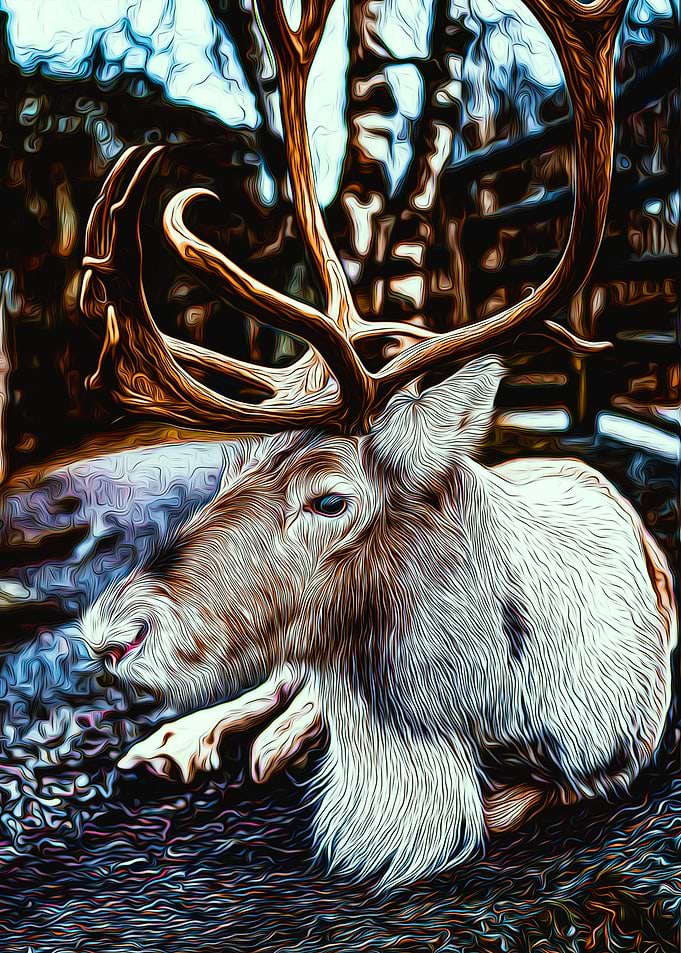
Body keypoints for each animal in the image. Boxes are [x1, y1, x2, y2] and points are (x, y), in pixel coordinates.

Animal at [75, 0, 677, 890]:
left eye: (329, 498)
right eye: (227, 468)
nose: (109, 632)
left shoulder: (623, 748)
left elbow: (495, 810)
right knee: (278, 686)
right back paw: (187, 739)